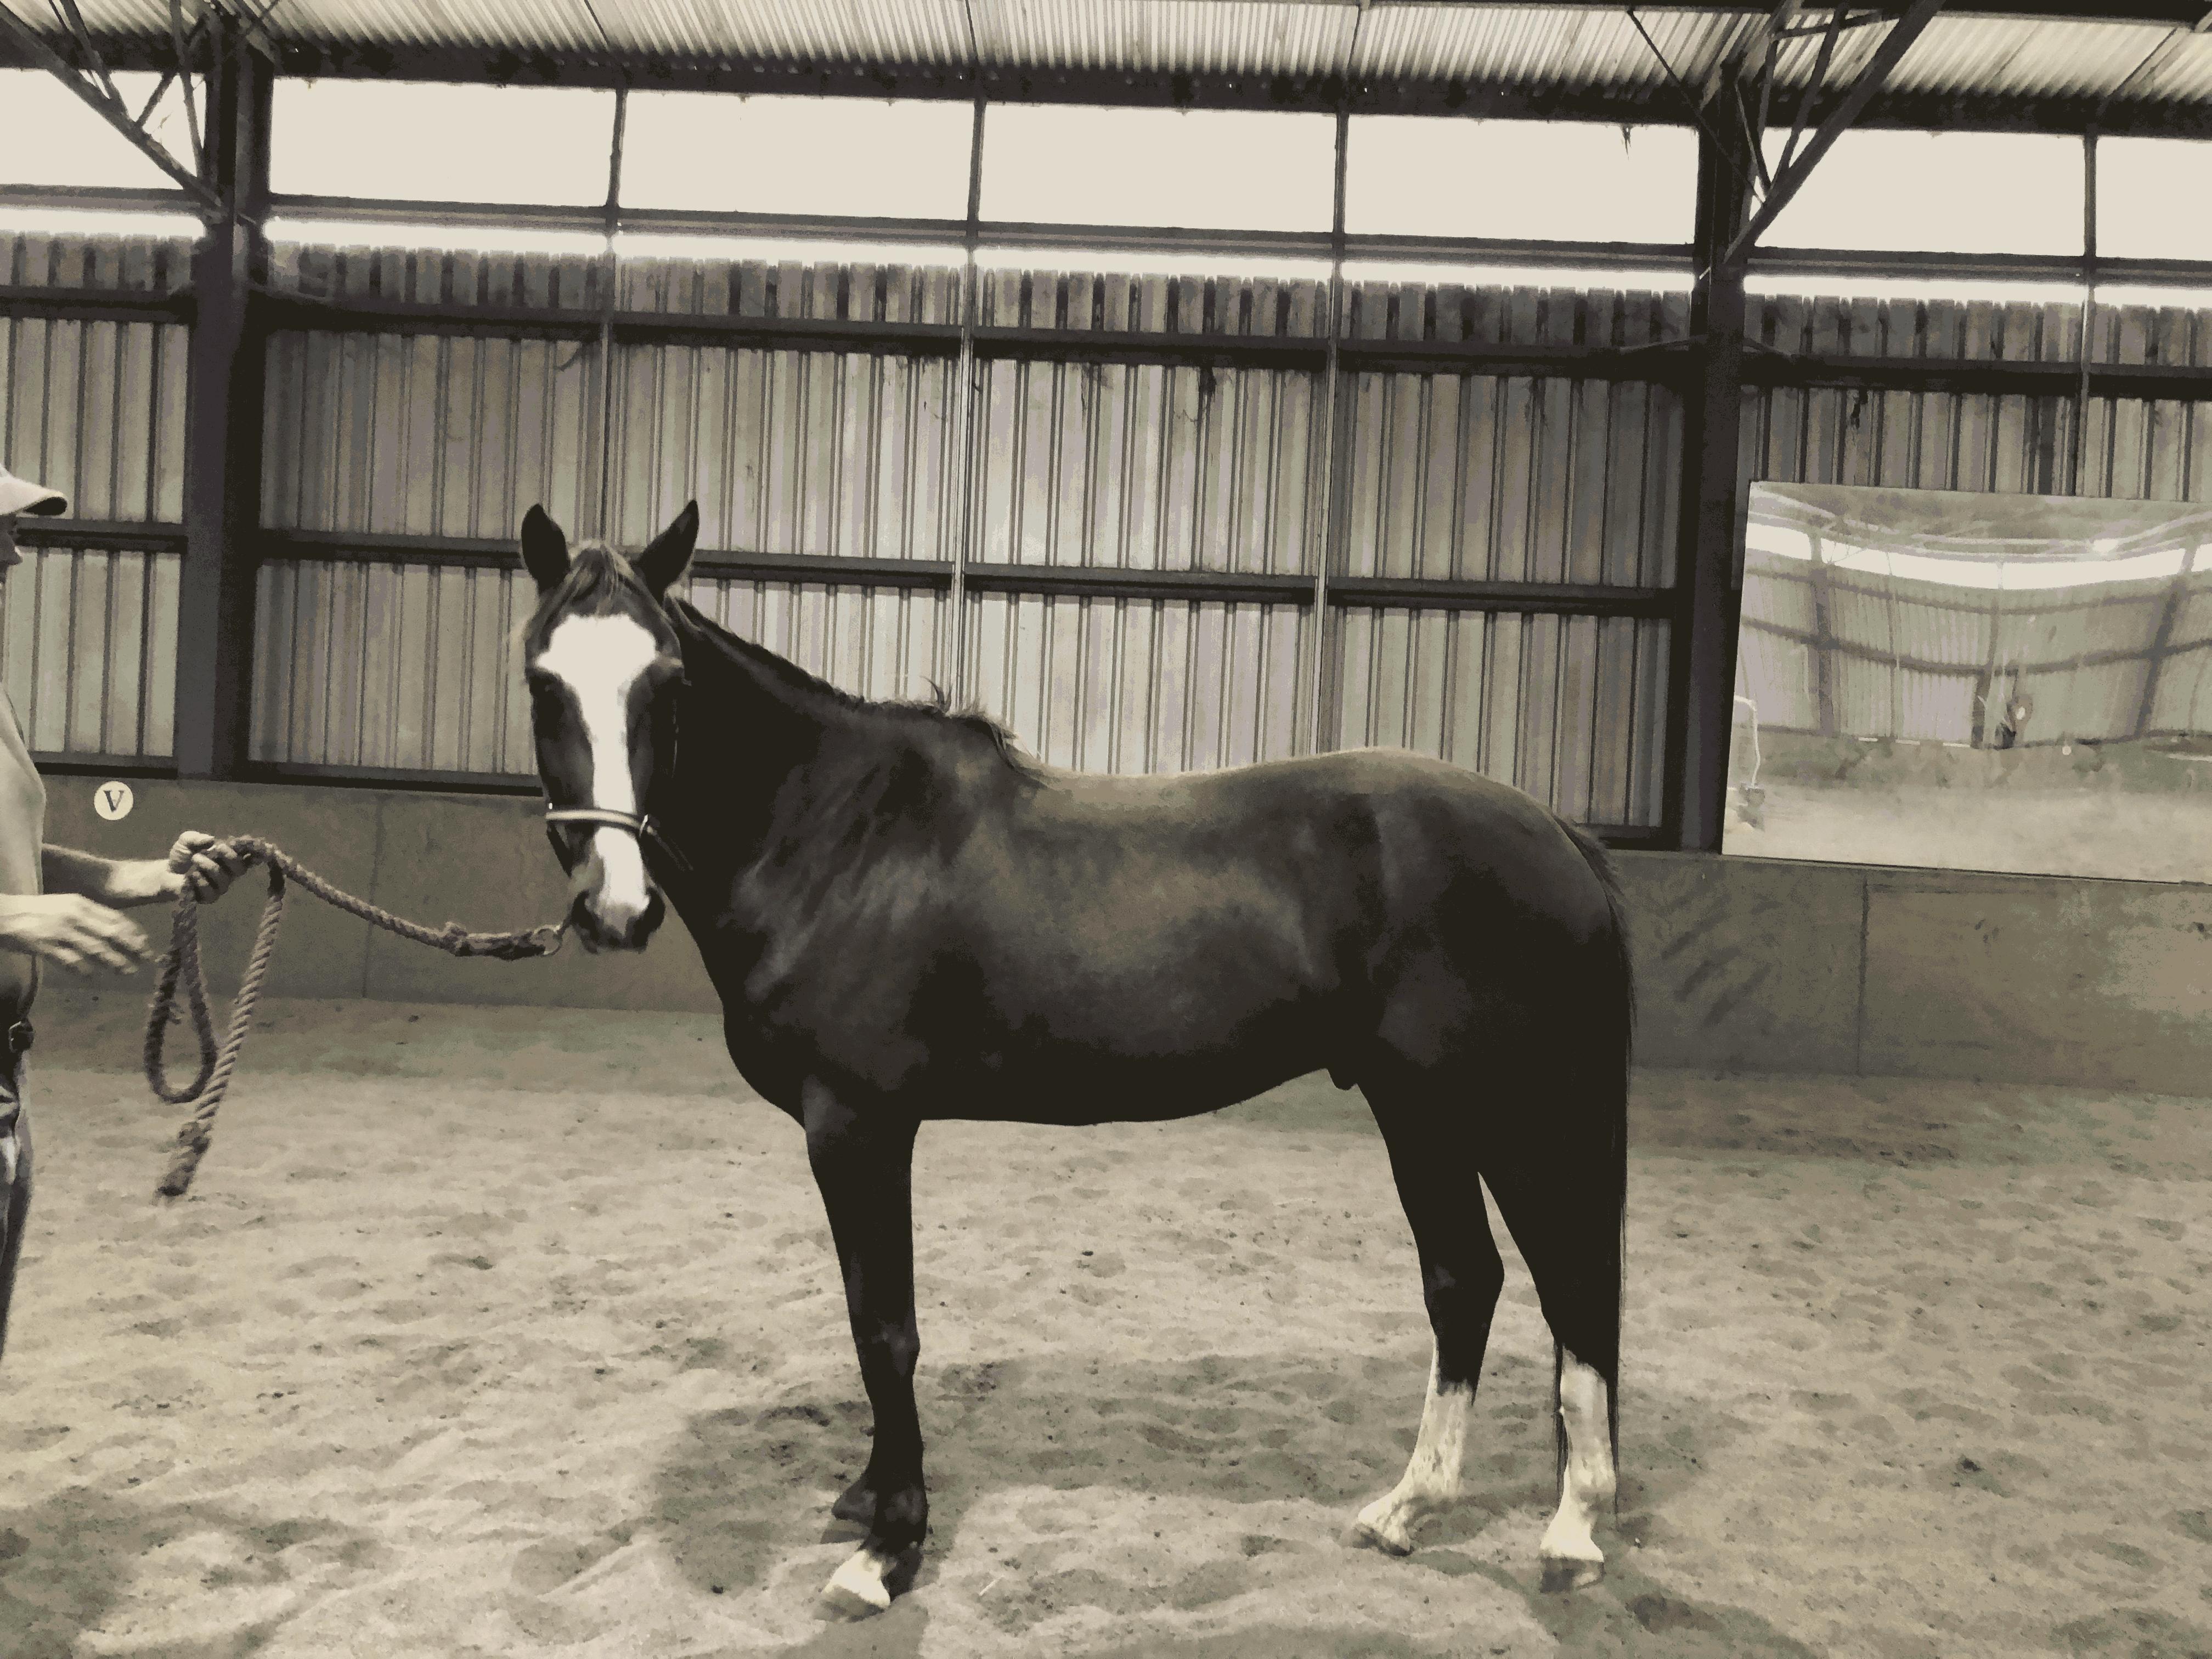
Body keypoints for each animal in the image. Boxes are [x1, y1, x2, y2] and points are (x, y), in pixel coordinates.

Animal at [514, 501, 1634, 1619]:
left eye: (666, 681)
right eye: (541, 679)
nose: (617, 908)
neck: (836, 838)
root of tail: (1559, 834)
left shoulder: (859, 1124)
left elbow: (885, 1327)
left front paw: (888, 1548)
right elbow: (868, 1317)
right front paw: (869, 1497)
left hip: (1500, 1111)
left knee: (1567, 1281)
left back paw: (1571, 1530)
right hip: (1418, 1111)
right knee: (1465, 1280)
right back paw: (1407, 1509)